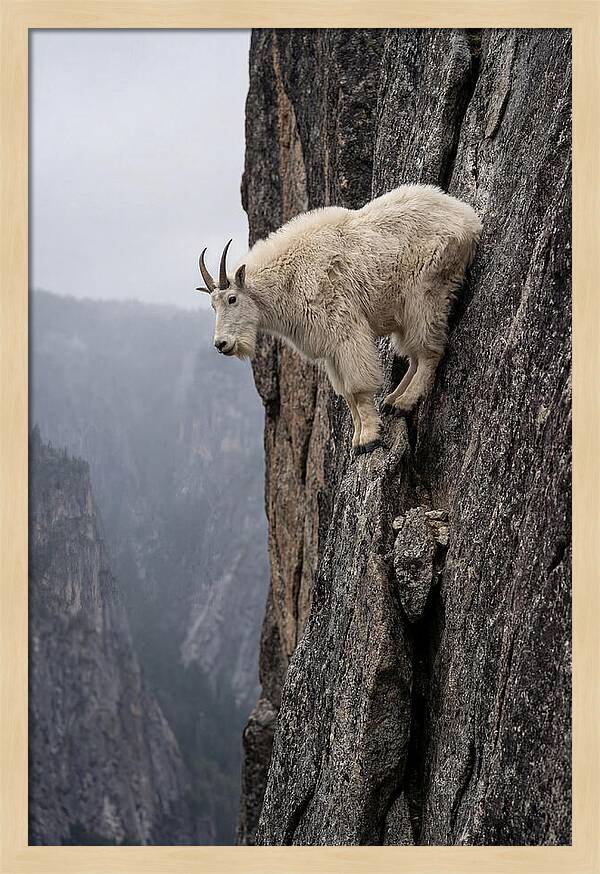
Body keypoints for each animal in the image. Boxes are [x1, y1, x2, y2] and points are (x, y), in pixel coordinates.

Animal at [197, 184, 482, 453]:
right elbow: (346, 394)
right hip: (405, 311)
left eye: (232, 299)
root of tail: (468, 218)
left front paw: (369, 438)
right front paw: (357, 439)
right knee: (414, 354)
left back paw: (404, 402)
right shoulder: (330, 349)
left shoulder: (345, 331)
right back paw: (392, 400)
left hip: (425, 293)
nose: (221, 344)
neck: (289, 279)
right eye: (212, 305)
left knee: (429, 351)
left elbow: (357, 388)